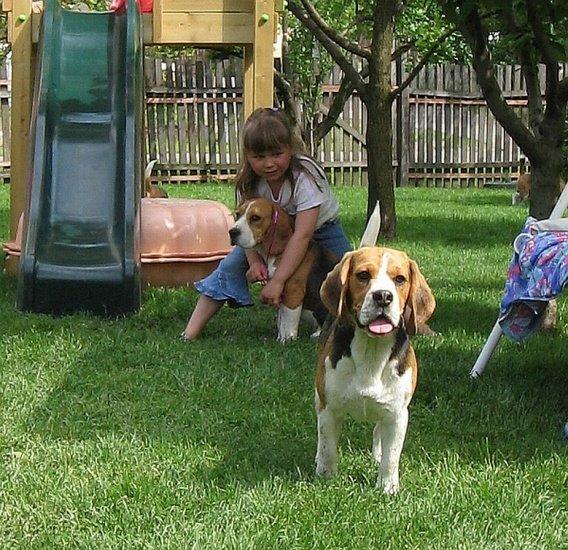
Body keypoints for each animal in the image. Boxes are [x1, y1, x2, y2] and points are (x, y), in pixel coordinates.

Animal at [230, 198, 338, 342]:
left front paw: (287, 340)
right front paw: (279, 339)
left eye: (255, 218)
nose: (232, 232)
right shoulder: (279, 292)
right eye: (237, 214)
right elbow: (282, 321)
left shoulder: (292, 292)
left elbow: (288, 321)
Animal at [316, 247, 434, 496]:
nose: (383, 296)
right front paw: (326, 477)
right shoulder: (329, 408)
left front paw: (388, 487)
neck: (371, 350)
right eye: (363, 275)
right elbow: (328, 446)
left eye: (400, 279)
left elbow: (392, 457)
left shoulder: (398, 414)